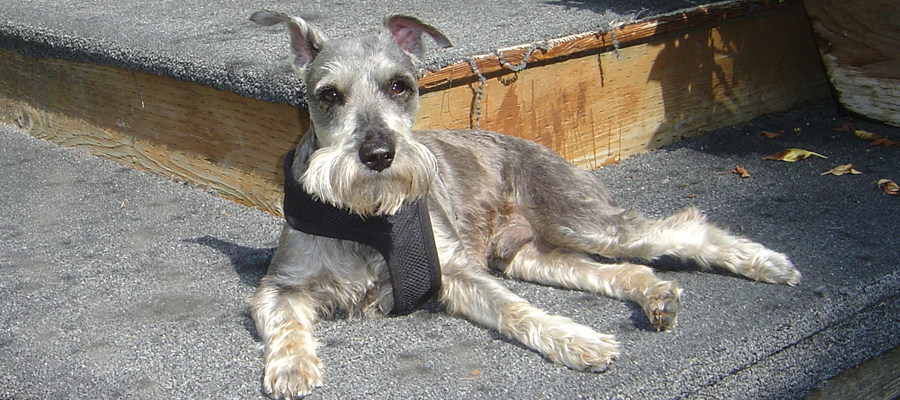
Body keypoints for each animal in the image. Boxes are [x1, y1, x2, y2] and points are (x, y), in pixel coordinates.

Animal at [246, 10, 800, 400]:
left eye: (399, 86)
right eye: (329, 95)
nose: (379, 154)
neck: (367, 217)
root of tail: (546, 152)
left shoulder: (458, 272)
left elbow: (516, 310)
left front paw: (577, 339)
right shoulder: (281, 285)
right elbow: (286, 322)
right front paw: (292, 367)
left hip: (581, 221)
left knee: (680, 227)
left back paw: (769, 263)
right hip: (530, 255)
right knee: (620, 269)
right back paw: (656, 294)